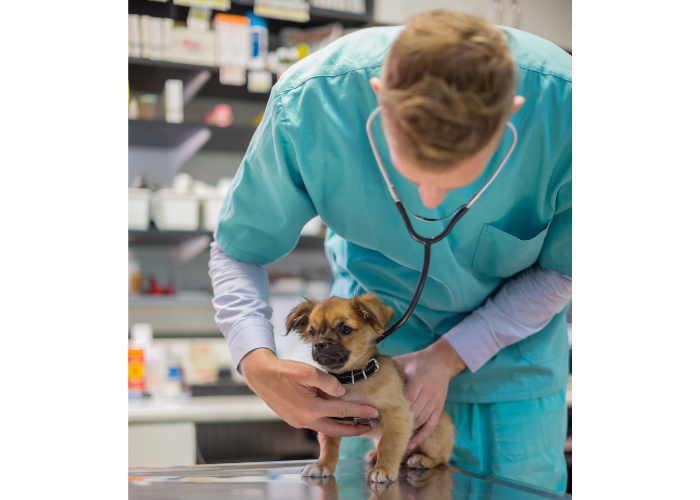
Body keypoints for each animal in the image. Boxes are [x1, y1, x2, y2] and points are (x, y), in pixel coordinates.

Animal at [284, 294, 454, 482]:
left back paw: (422, 459)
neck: (353, 379)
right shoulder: (332, 418)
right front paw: (323, 465)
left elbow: (389, 445)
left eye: (345, 329)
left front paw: (383, 469)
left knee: (442, 459)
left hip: (433, 436)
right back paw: (374, 454)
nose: (319, 344)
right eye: (312, 332)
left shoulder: (397, 415)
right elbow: (329, 444)